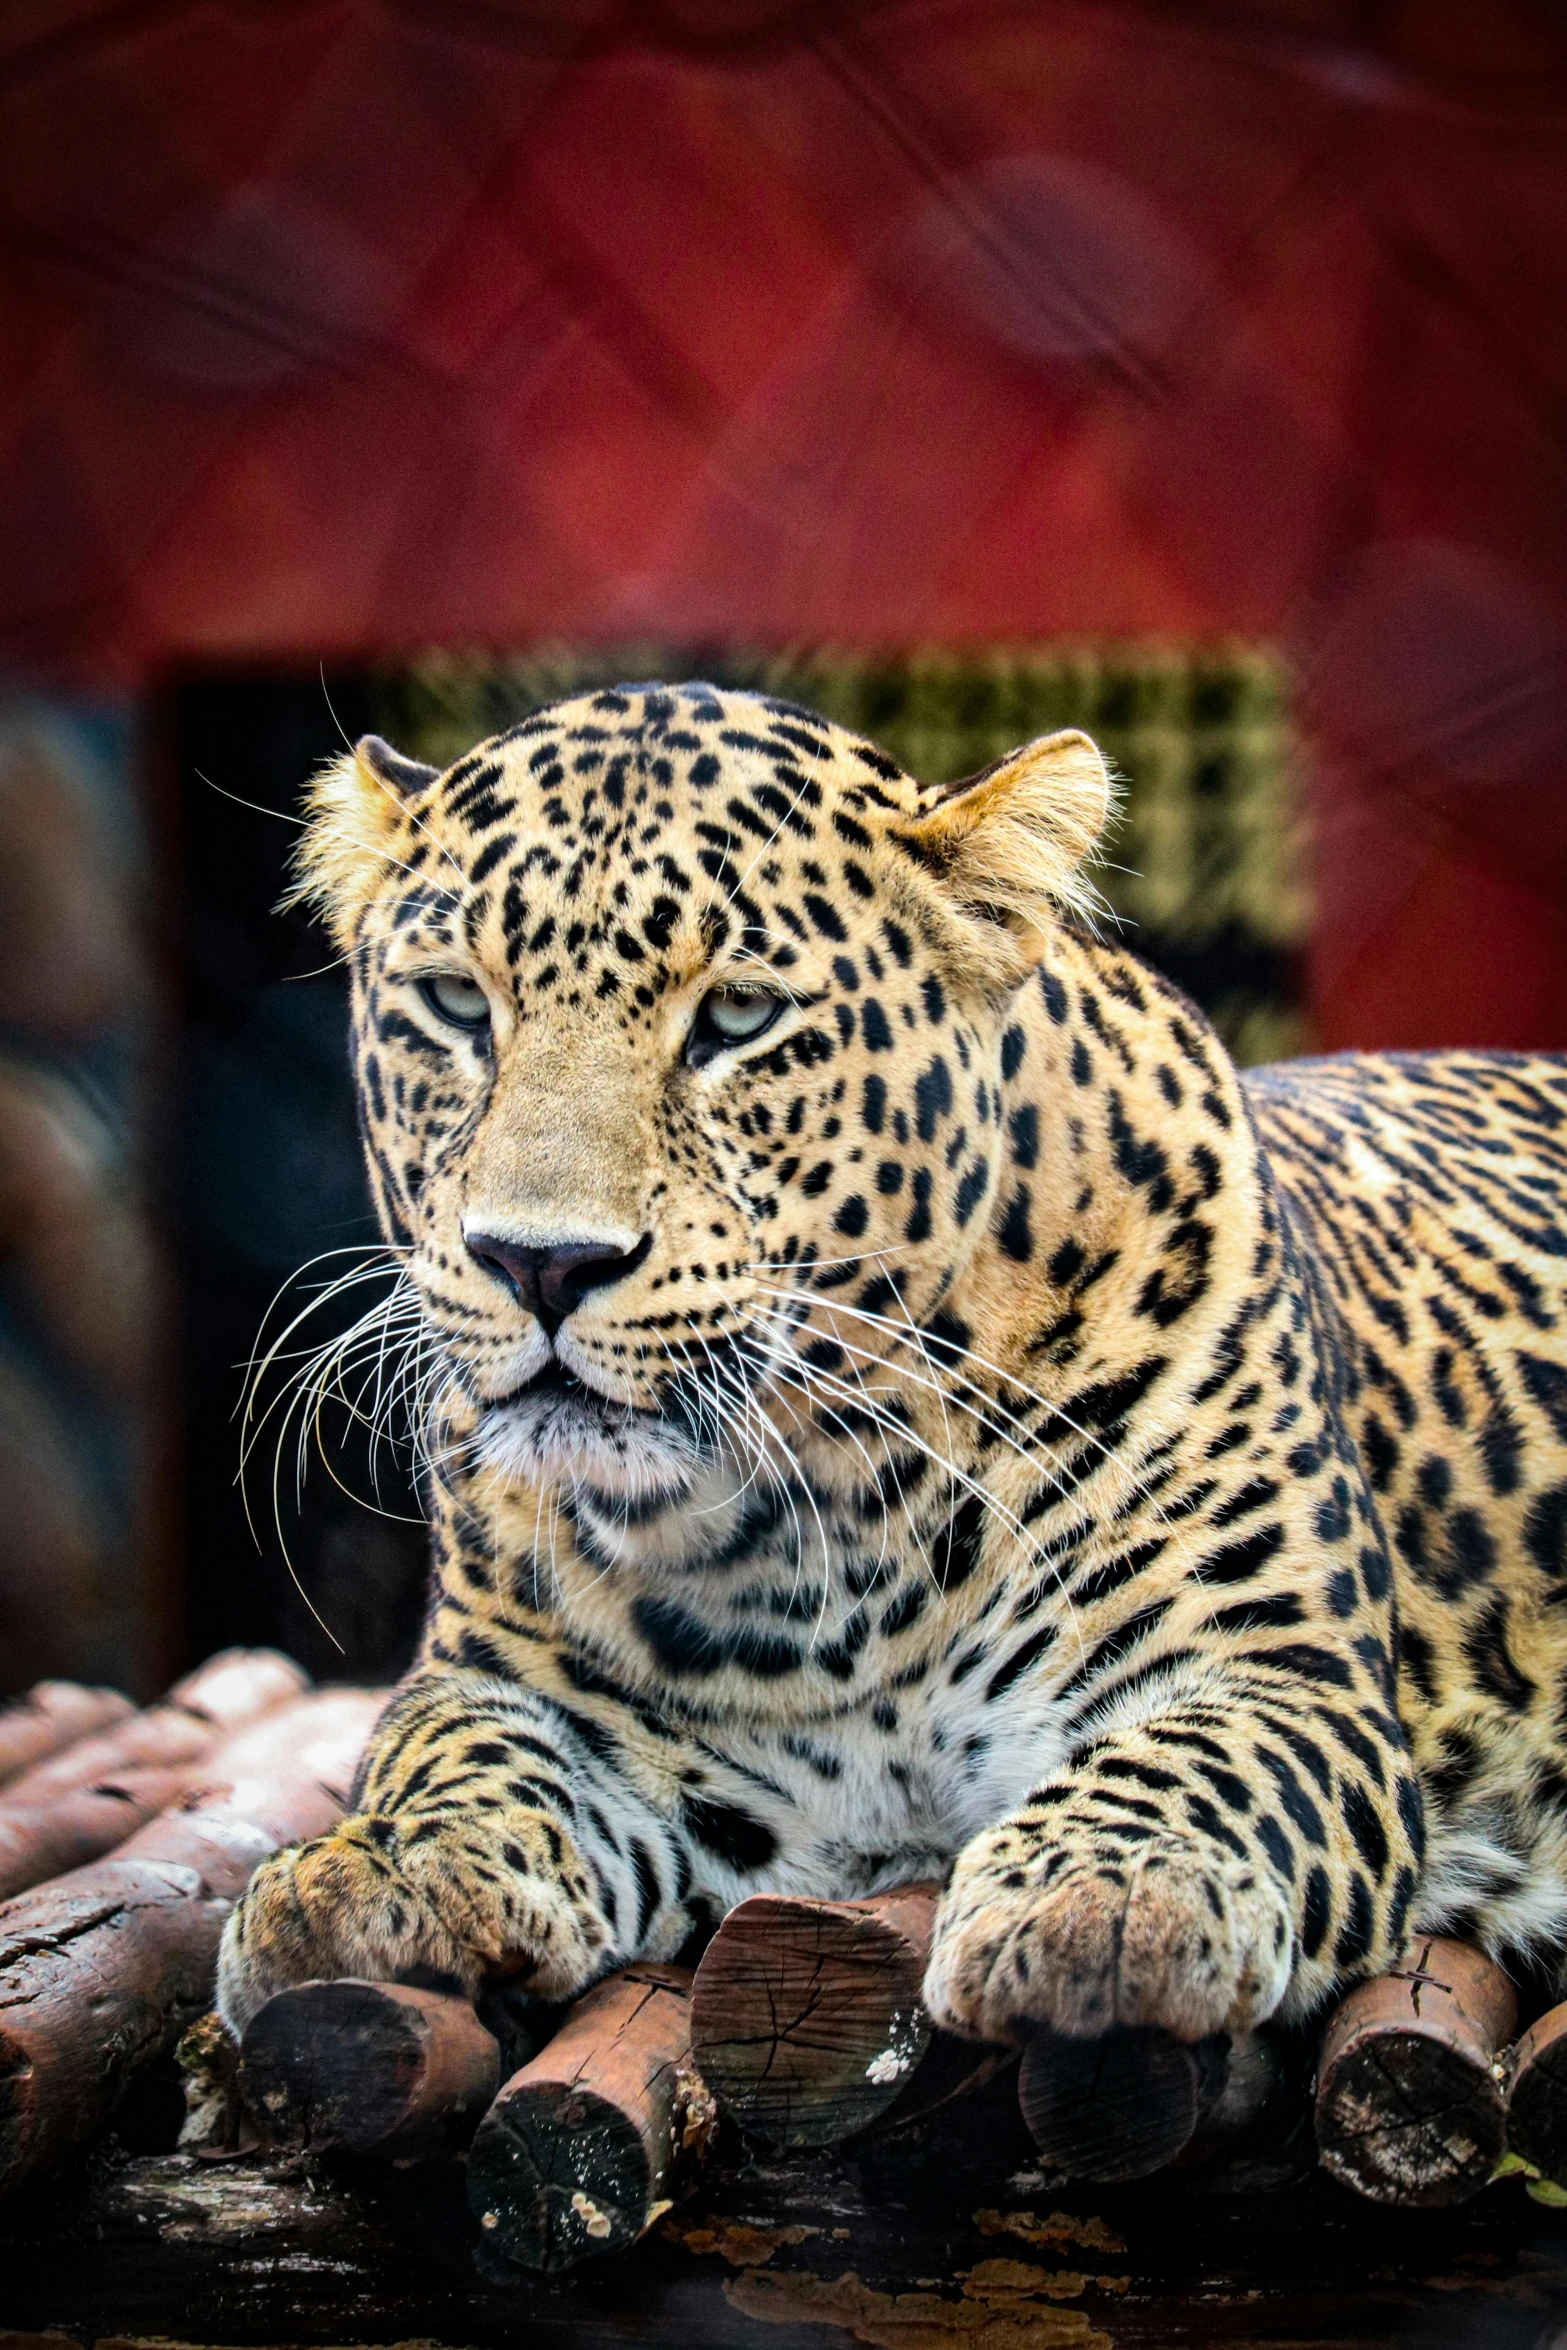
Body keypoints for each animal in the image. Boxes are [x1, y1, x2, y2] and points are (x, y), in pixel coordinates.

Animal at [214, 676, 1567, 2058]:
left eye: (737, 1017)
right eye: (455, 1004)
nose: (538, 1264)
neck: (819, 1537)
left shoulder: (1278, 1669)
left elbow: (1196, 1760)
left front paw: (1105, 1891)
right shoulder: (519, 1687)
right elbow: (451, 1754)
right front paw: (378, 1864)